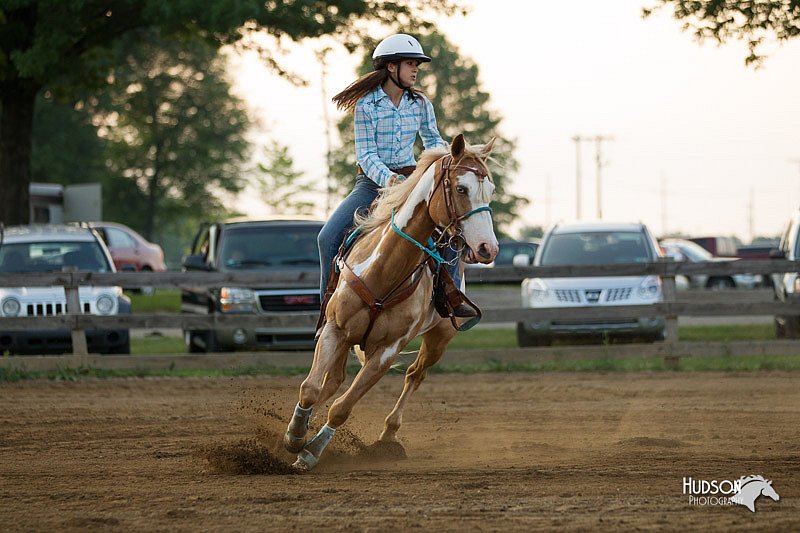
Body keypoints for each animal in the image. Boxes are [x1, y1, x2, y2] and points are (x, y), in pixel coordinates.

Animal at [282, 133, 496, 470]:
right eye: (461, 188)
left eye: (491, 190)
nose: (489, 248)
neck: (383, 272)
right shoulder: (335, 329)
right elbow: (311, 387)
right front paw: (294, 436)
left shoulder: (385, 352)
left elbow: (342, 408)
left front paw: (310, 451)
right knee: (333, 380)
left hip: (440, 337)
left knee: (415, 374)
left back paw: (387, 435)